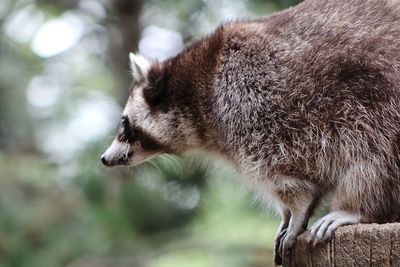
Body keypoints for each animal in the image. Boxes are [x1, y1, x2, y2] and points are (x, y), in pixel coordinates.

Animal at [101, 0, 400, 264]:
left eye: (124, 124)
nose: (104, 158)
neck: (199, 81)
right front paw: (286, 214)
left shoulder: (252, 102)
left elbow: (286, 173)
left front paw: (298, 208)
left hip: (379, 97)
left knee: (374, 153)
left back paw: (356, 206)